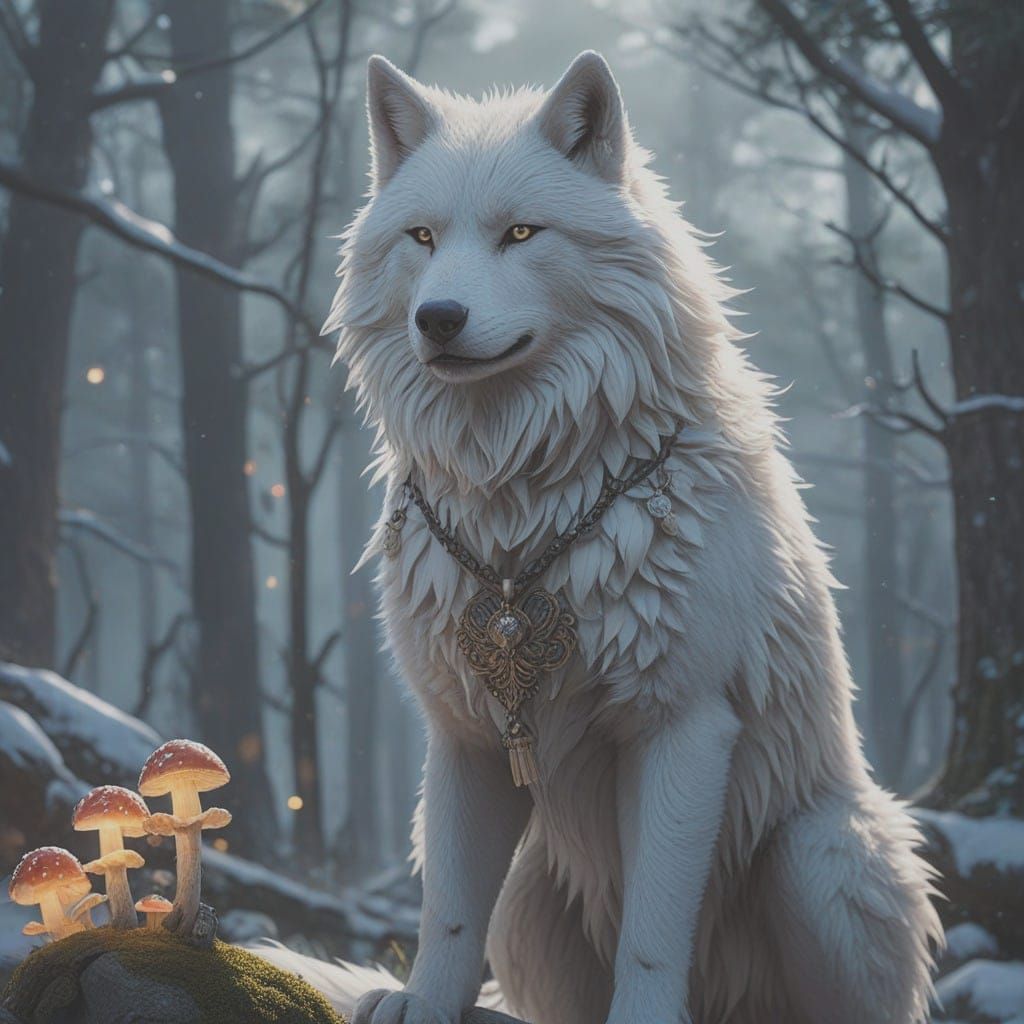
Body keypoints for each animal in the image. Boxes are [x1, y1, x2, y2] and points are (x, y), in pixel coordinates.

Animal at [264, 51, 943, 1024]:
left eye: (520, 233)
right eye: (423, 238)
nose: (437, 318)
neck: (525, 506)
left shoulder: (682, 728)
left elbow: (653, 933)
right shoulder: (465, 735)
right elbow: (446, 910)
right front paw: (421, 1003)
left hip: (819, 855)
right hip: (529, 898)